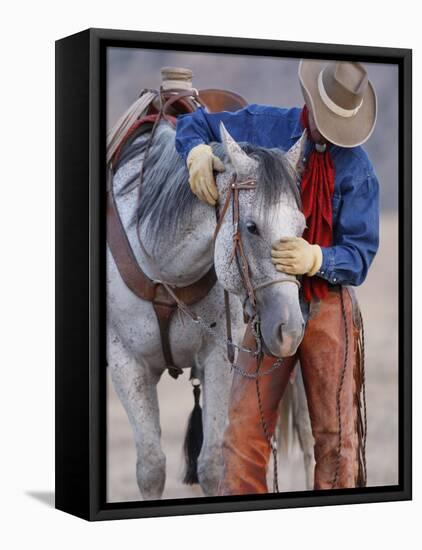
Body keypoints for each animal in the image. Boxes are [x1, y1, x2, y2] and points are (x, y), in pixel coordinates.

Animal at [106, 121, 306, 500]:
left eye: (302, 227)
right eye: (251, 227)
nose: (289, 331)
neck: (164, 269)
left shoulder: (218, 358)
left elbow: (212, 465)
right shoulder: (126, 363)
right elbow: (151, 467)